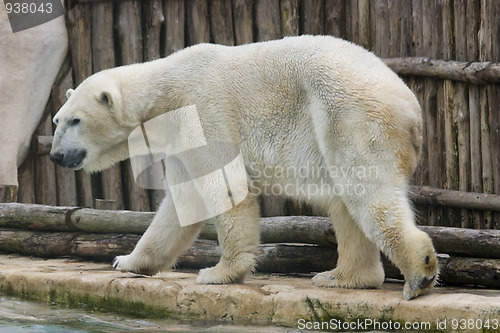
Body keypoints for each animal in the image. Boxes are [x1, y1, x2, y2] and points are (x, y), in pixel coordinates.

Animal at [50, 35, 438, 298]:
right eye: (56, 120)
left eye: (75, 120)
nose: (56, 156)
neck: (164, 88)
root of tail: (411, 107)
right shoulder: (178, 138)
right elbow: (182, 202)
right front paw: (127, 261)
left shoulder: (202, 109)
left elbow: (224, 184)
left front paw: (218, 272)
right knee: (345, 204)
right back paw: (341, 277)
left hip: (348, 114)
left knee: (366, 191)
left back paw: (419, 273)